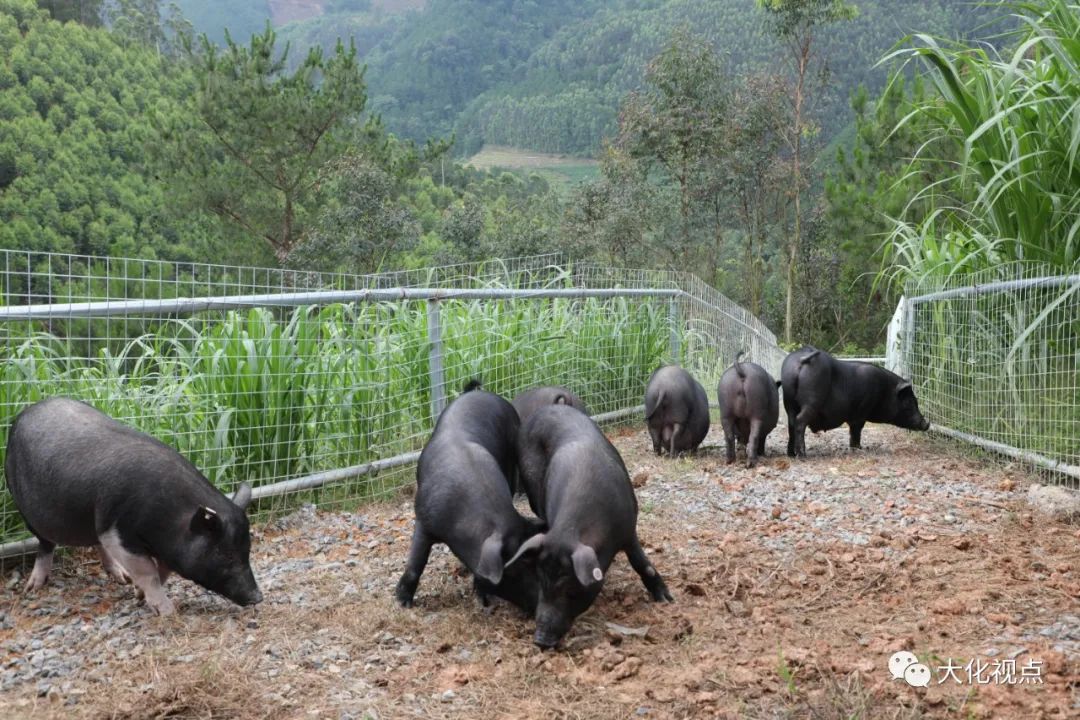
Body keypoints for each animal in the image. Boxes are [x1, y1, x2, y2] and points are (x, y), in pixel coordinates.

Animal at [5, 397, 262, 617]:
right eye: (225, 554)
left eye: (247, 549)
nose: (258, 597)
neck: (171, 520)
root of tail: (27, 410)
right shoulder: (117, 532)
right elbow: (148, 572)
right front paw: (167, 612)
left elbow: (162, 571)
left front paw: (137, 593)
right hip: (26, 507)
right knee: (46, 544)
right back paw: (33, 587)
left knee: (97, 544)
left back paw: (121, 578)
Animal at [397, 382, 544, 613]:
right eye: (518, 566)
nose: (540, 607)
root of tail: (482, 393)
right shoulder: (423, 519)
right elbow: (416, 562)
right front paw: (403, 603)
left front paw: (484, 601)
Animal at [503, 405, 665, 647]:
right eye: (541, 583)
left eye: (571, 590)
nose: (540, 640)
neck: (571, 530)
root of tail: (543, 409)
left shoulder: (629, 528)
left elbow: (641, 563)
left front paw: (666, 599)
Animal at [781, 343, 933, 455]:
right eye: (910, 402)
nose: (926, 423)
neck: (885, 391)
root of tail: (803, 358)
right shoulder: (861, 412)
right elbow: (856, 430)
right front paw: (859, 448)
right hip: (812, 398)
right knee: (800, 421)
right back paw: (802, 454)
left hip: (788, 400)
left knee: (791, 422)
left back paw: (791, 453)